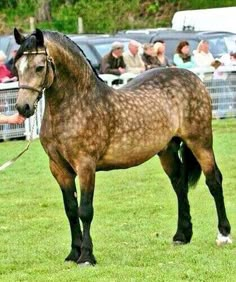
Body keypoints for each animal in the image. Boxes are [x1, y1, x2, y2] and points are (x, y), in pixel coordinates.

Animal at [13, 29, 231, 266]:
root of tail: (194, 78)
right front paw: (73, 253)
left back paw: (223, 234)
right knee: (179, 185)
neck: (77, 104)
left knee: (214, 181)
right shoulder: (59, 169)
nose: (23, 107)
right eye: (17, 66)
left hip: (200, 142)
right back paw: (182, 235)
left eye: (39, 67)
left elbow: (85, 210)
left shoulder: (86, 166)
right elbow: (70, 210)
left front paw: (86, 256)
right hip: (168, 150)